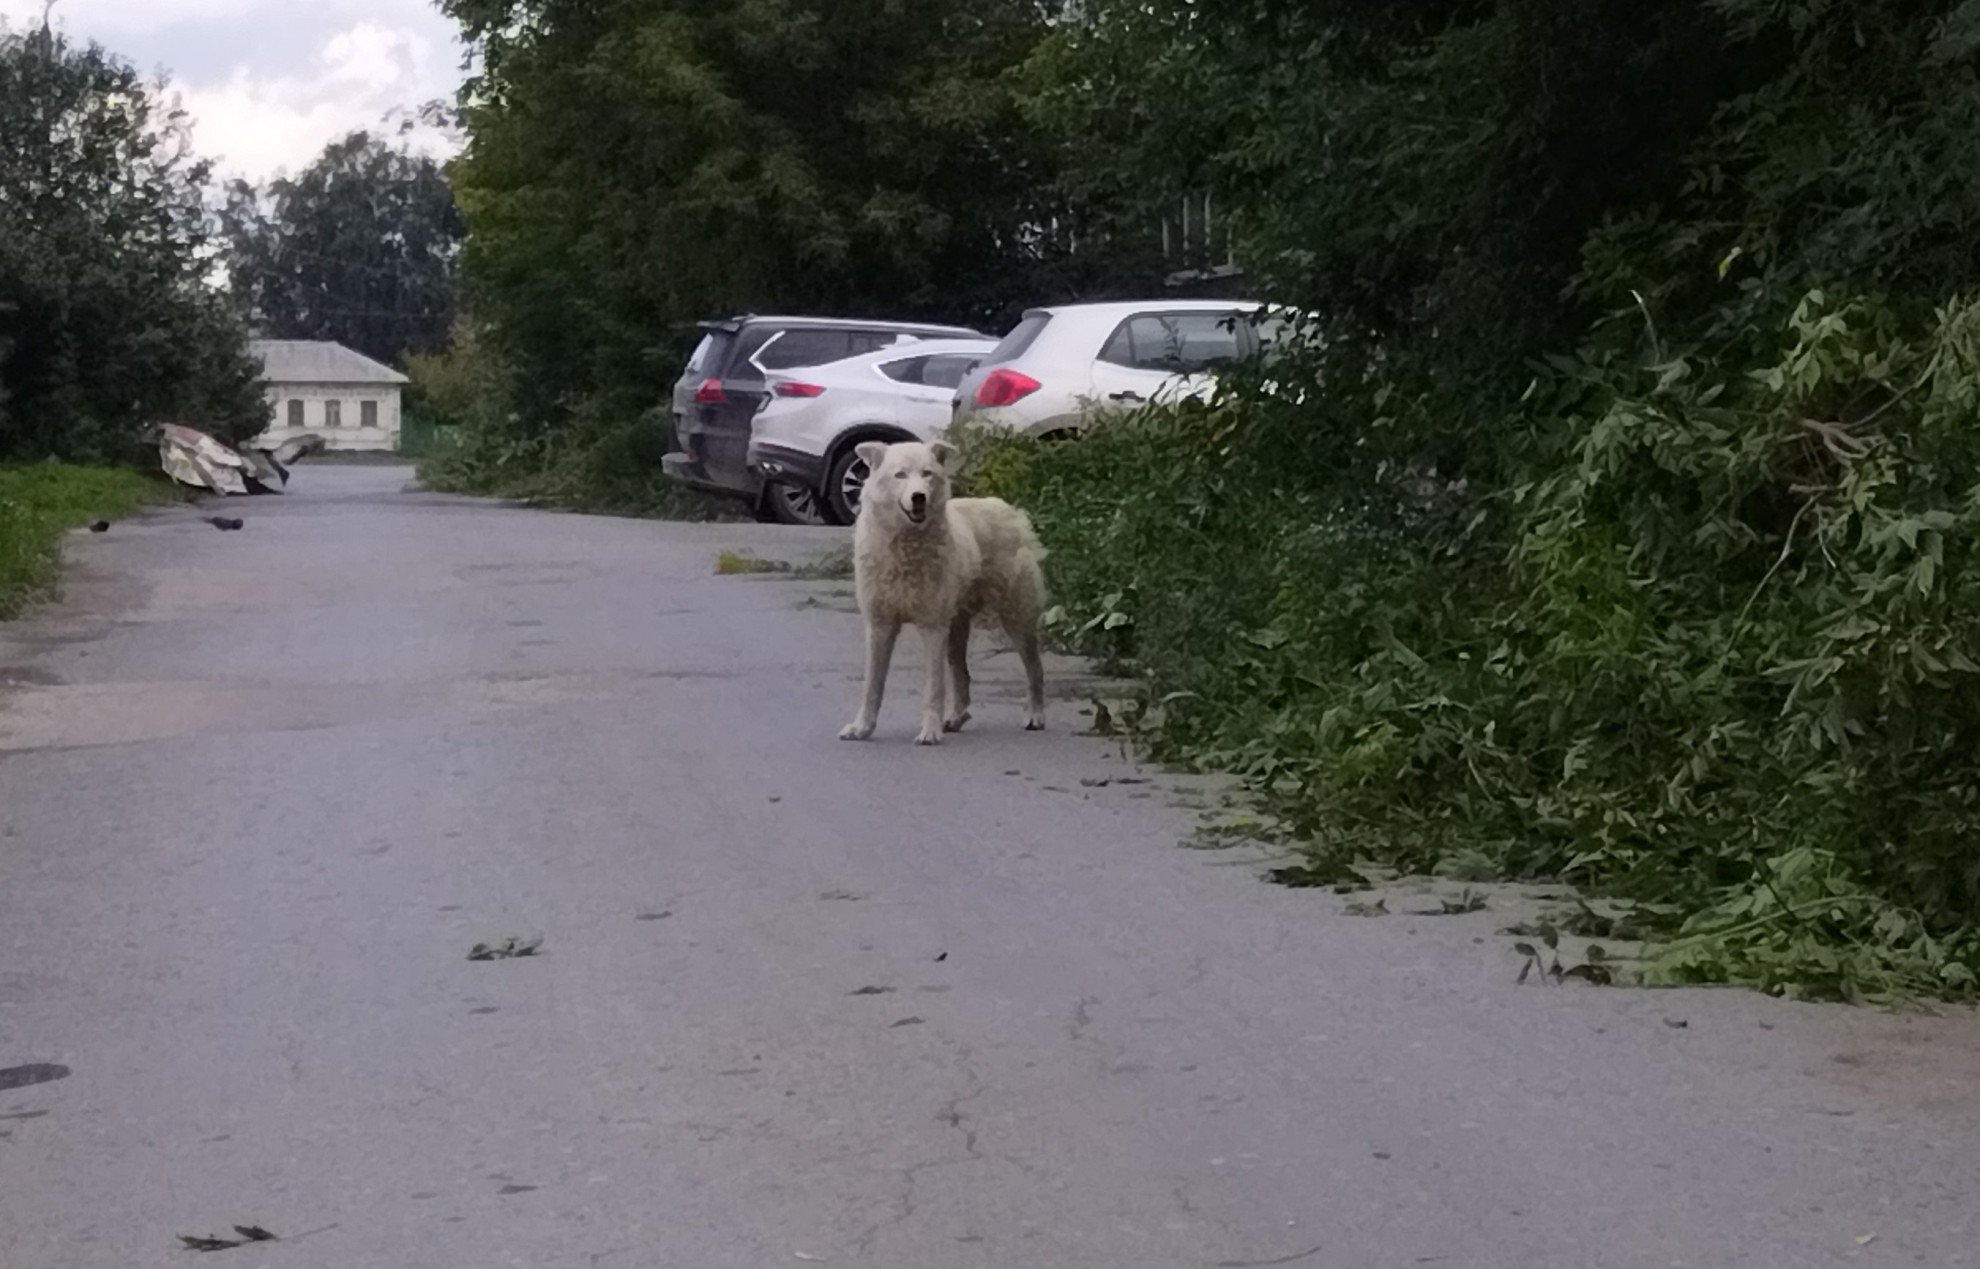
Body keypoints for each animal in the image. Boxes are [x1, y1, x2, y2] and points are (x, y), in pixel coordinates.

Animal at [839, 443, 1053, 748]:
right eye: (900, 475)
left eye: (927, 473)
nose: (919, 497)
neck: (906, 546)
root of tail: (1007, 508)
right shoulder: (879, 626)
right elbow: (872, 686)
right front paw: (862, 729)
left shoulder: (932, 628)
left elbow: (934, 688)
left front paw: (929, 732)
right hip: (956, 630)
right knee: (963, 676)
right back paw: (955, 719)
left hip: (1015, 619)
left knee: (1035, 668)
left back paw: (1035, 716)